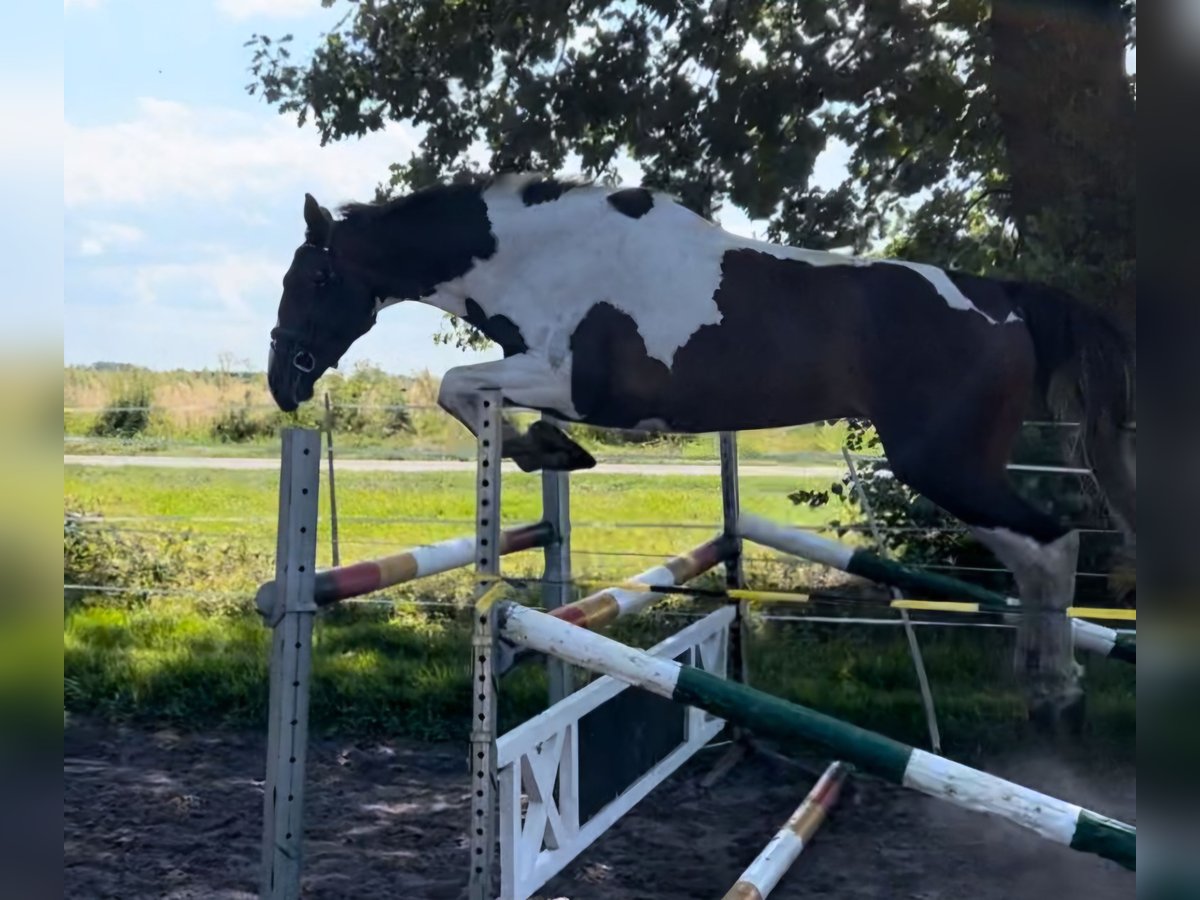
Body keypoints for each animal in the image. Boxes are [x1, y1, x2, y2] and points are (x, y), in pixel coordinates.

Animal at [270, 170, 1132, 710]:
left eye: (314, 279)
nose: (284, 382)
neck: (542, 255)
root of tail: (1005, 299)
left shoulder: (578, 382)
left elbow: (458, 384)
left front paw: (542, 448)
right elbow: (474, 396)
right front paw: (549, 450)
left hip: (941, 462)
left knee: (1050, 544)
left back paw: (1055, 690)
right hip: (956, 464)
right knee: (1034, 554)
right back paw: (1037, 676)